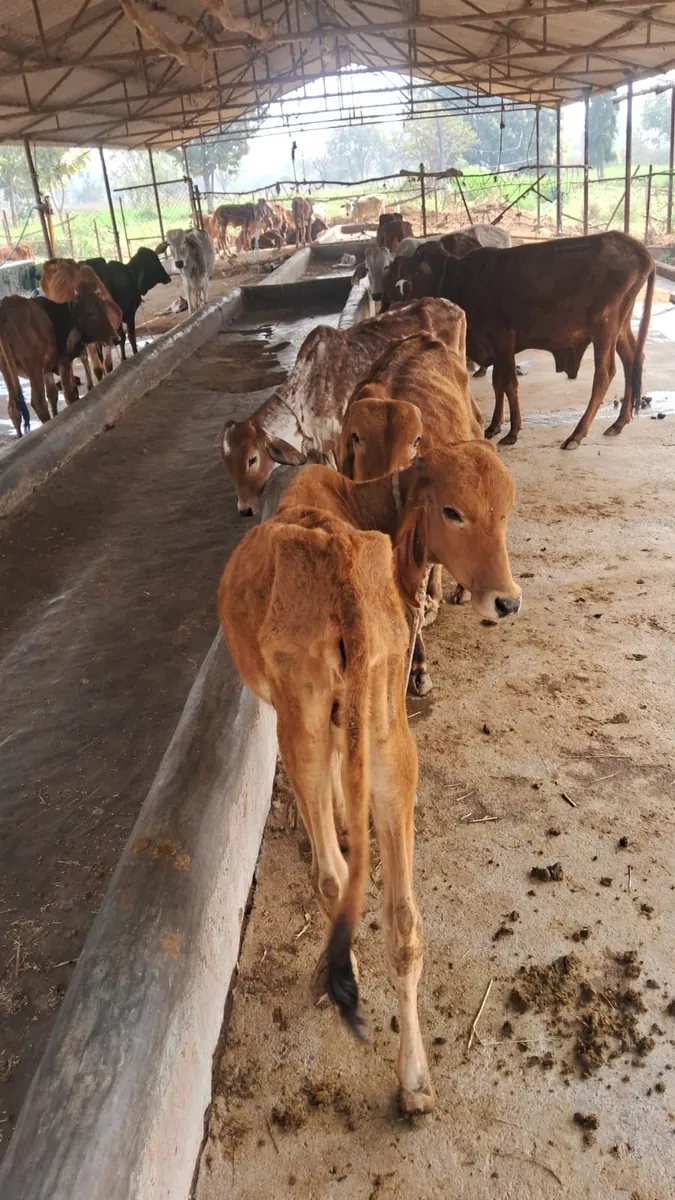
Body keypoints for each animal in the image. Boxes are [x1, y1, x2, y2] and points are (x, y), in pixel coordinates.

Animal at [0, 286, 118, 435]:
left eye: (104, 309)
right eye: (91, 313)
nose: (116, 338)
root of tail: (5, 304)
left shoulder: (47, 370)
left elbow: (53, 395)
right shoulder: (64, 361)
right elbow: (69, 394)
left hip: (7, 371)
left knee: (13, 409)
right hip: (33, 366)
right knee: (38, 402)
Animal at [220, 442, 520, 1113]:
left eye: (505, 512)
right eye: (455, 511)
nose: (507, 600)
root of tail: (343, 575)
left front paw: (326, 824)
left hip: (302, 730)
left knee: (333, 879)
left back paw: (337, 973)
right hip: (391, 746)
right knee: (405, 922)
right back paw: (414, 1083)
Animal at [221, 297, 464, 514]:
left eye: (252, 459)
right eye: (227, 464)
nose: (245, 509)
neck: (304, 396)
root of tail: (450, 304)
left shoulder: (341, 437)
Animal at [402, 232, 656, 447]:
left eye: (416, 272)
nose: (412, 300)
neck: (463, 279)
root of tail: (638, 249)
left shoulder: (502, 337)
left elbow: (509, 383)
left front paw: (513, 431)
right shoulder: (496, 346)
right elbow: (498, 383)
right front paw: (494, 426)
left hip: (605, 325)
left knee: (605, 373)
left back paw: (577, 434)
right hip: (620, 326)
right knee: (632, 359)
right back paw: (619, 422)